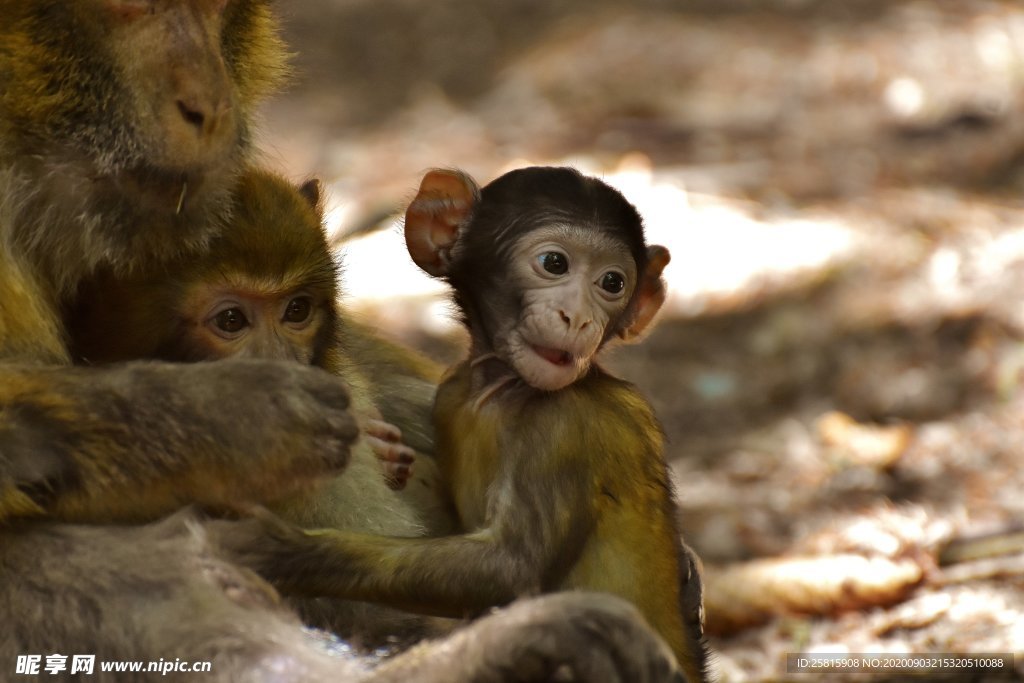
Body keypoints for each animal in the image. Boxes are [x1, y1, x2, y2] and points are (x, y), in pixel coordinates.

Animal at [230, 167, 712, 679]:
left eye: (613, 282)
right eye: (554, 263)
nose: (578, 318)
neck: (503, 390)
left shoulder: (567, 427)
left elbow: (509, 568)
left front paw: (283, 550)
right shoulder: (452, 393)